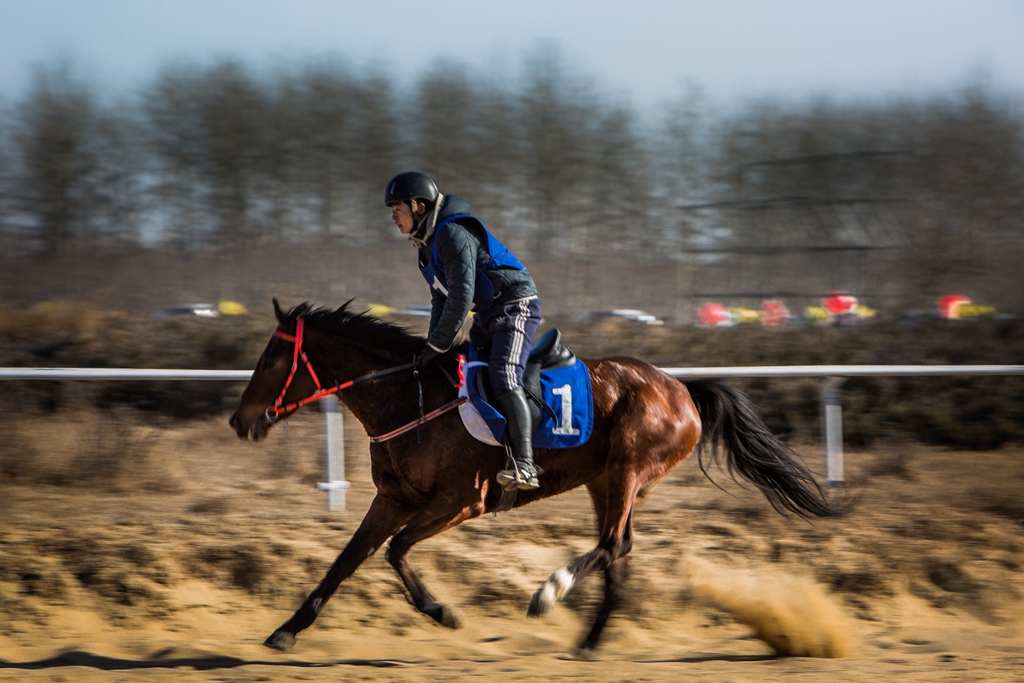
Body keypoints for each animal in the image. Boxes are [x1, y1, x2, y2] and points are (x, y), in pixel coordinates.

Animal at [230, 296, 839, 655]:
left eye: (270, 361)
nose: (239, 420)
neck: (409, 397)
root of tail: (682, 389)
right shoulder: (394, 499)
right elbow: (346, 560)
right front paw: (286, 630)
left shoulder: (461, 501)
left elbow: (397, 551)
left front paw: (442, 612)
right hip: (606, 481)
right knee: (619, 554)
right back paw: (589, 643)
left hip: (629, 469)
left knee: (613, 545)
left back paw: (550, 593)